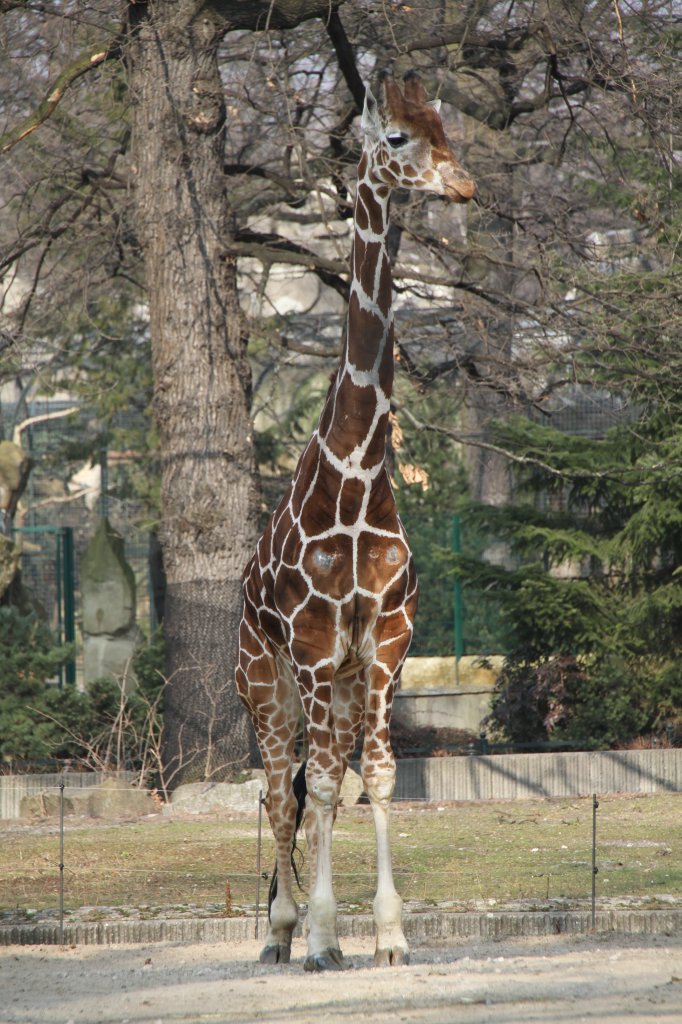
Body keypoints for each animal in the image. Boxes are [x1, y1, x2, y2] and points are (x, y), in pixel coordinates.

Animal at [233, 70, 473, 966]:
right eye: (398, 139)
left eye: (447, 128)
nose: (463, 184)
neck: (362, 470)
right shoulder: (310, 647)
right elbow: (322, 788)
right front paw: (326, 936)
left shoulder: (387, 641)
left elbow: (374, 777)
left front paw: (392, 934)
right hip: (263, 682)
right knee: (278, 788)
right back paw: (281, 932)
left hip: (331, 684)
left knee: (305, 784)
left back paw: (290, 924)